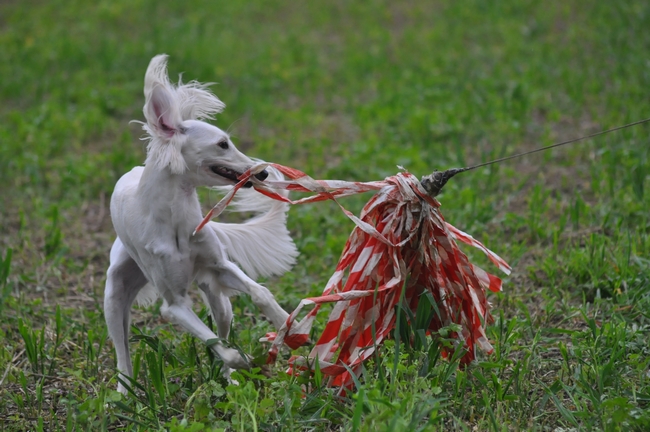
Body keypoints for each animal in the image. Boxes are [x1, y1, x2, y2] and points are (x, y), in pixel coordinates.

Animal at [105, 54, 296, 394]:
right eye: (222, 144)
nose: (262, 172)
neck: (177, 224)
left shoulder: (221, 266)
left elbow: (260, 292)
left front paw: (289, 324)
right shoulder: (174, 305)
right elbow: (218, 346)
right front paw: (246, 360)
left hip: (218, 298)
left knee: (222, 324)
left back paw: (229, 383)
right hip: (114, 296)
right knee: (123, 354)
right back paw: (124, 394)